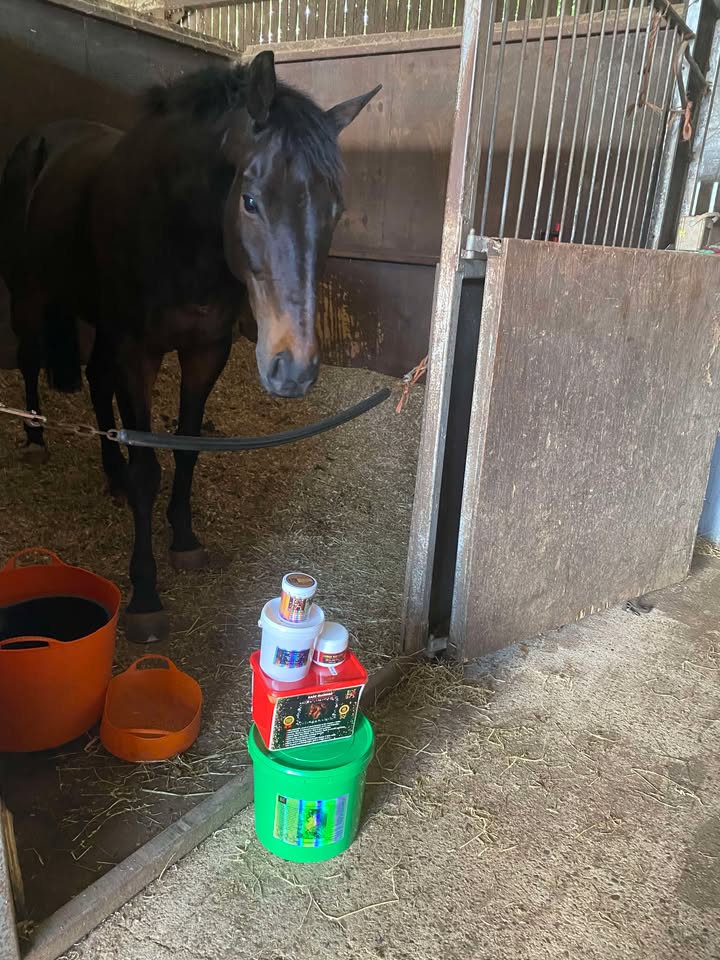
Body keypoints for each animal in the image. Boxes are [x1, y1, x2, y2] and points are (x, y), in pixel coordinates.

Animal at [0, 51, 380, 644]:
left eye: (334, 209)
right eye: (250, 200)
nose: (292, 368)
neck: (176, 229)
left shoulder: (206, 350)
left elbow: (188, 448)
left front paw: (184, 542)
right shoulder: (139, 352)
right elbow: (148, 470)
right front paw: (146, 596)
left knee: (97, 385)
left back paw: (109, 473)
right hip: (29, 293)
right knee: (32, 359)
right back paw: (37, 437)